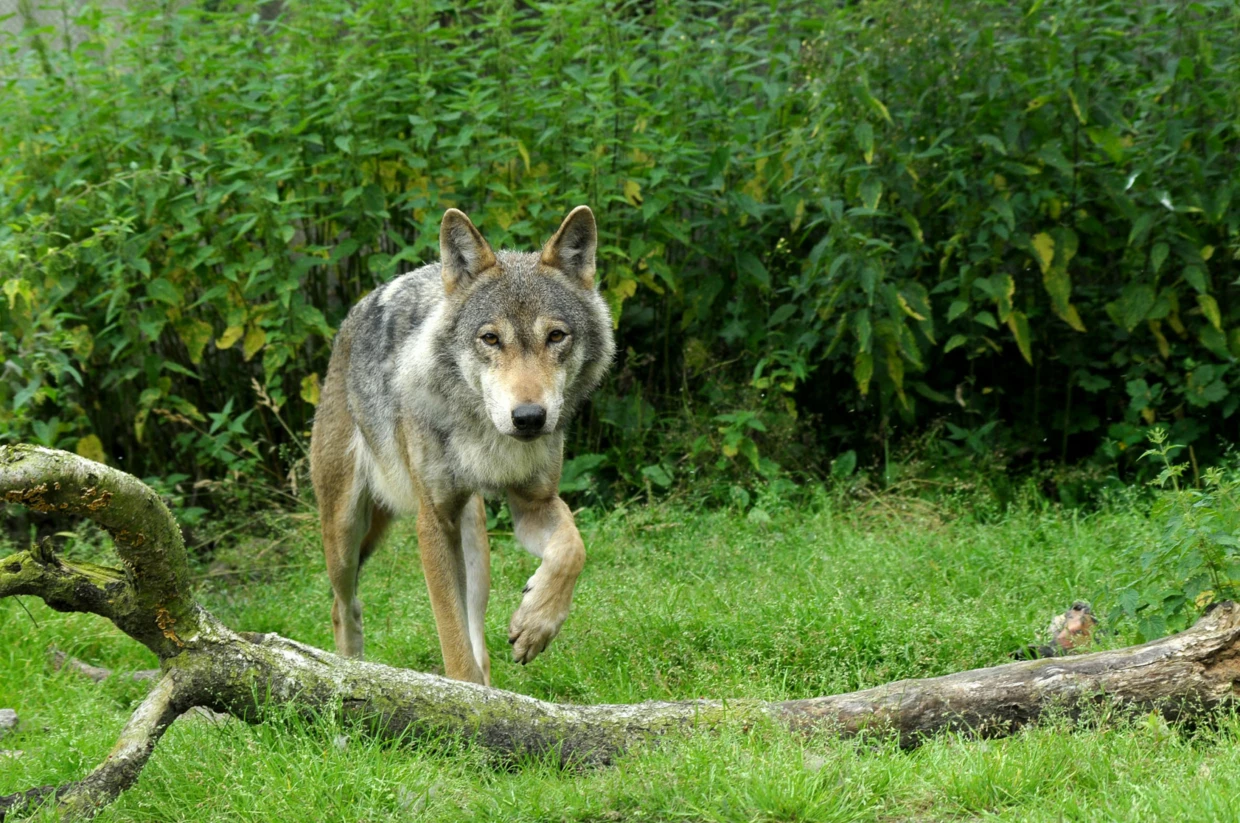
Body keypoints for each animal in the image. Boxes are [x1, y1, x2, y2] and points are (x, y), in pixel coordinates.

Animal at [308, 206, 615, 689]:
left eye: (556, 336)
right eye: (490, 339)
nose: (529, 417)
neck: (484, 433)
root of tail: (351, 318)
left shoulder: (534, 504)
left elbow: (572, 549)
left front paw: (536, 623)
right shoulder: (433, 522)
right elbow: (451, 642)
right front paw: (461, 704)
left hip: (475, 541)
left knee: (479, 641)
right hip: (344, 531)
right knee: (344, 607)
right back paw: (351, 671)